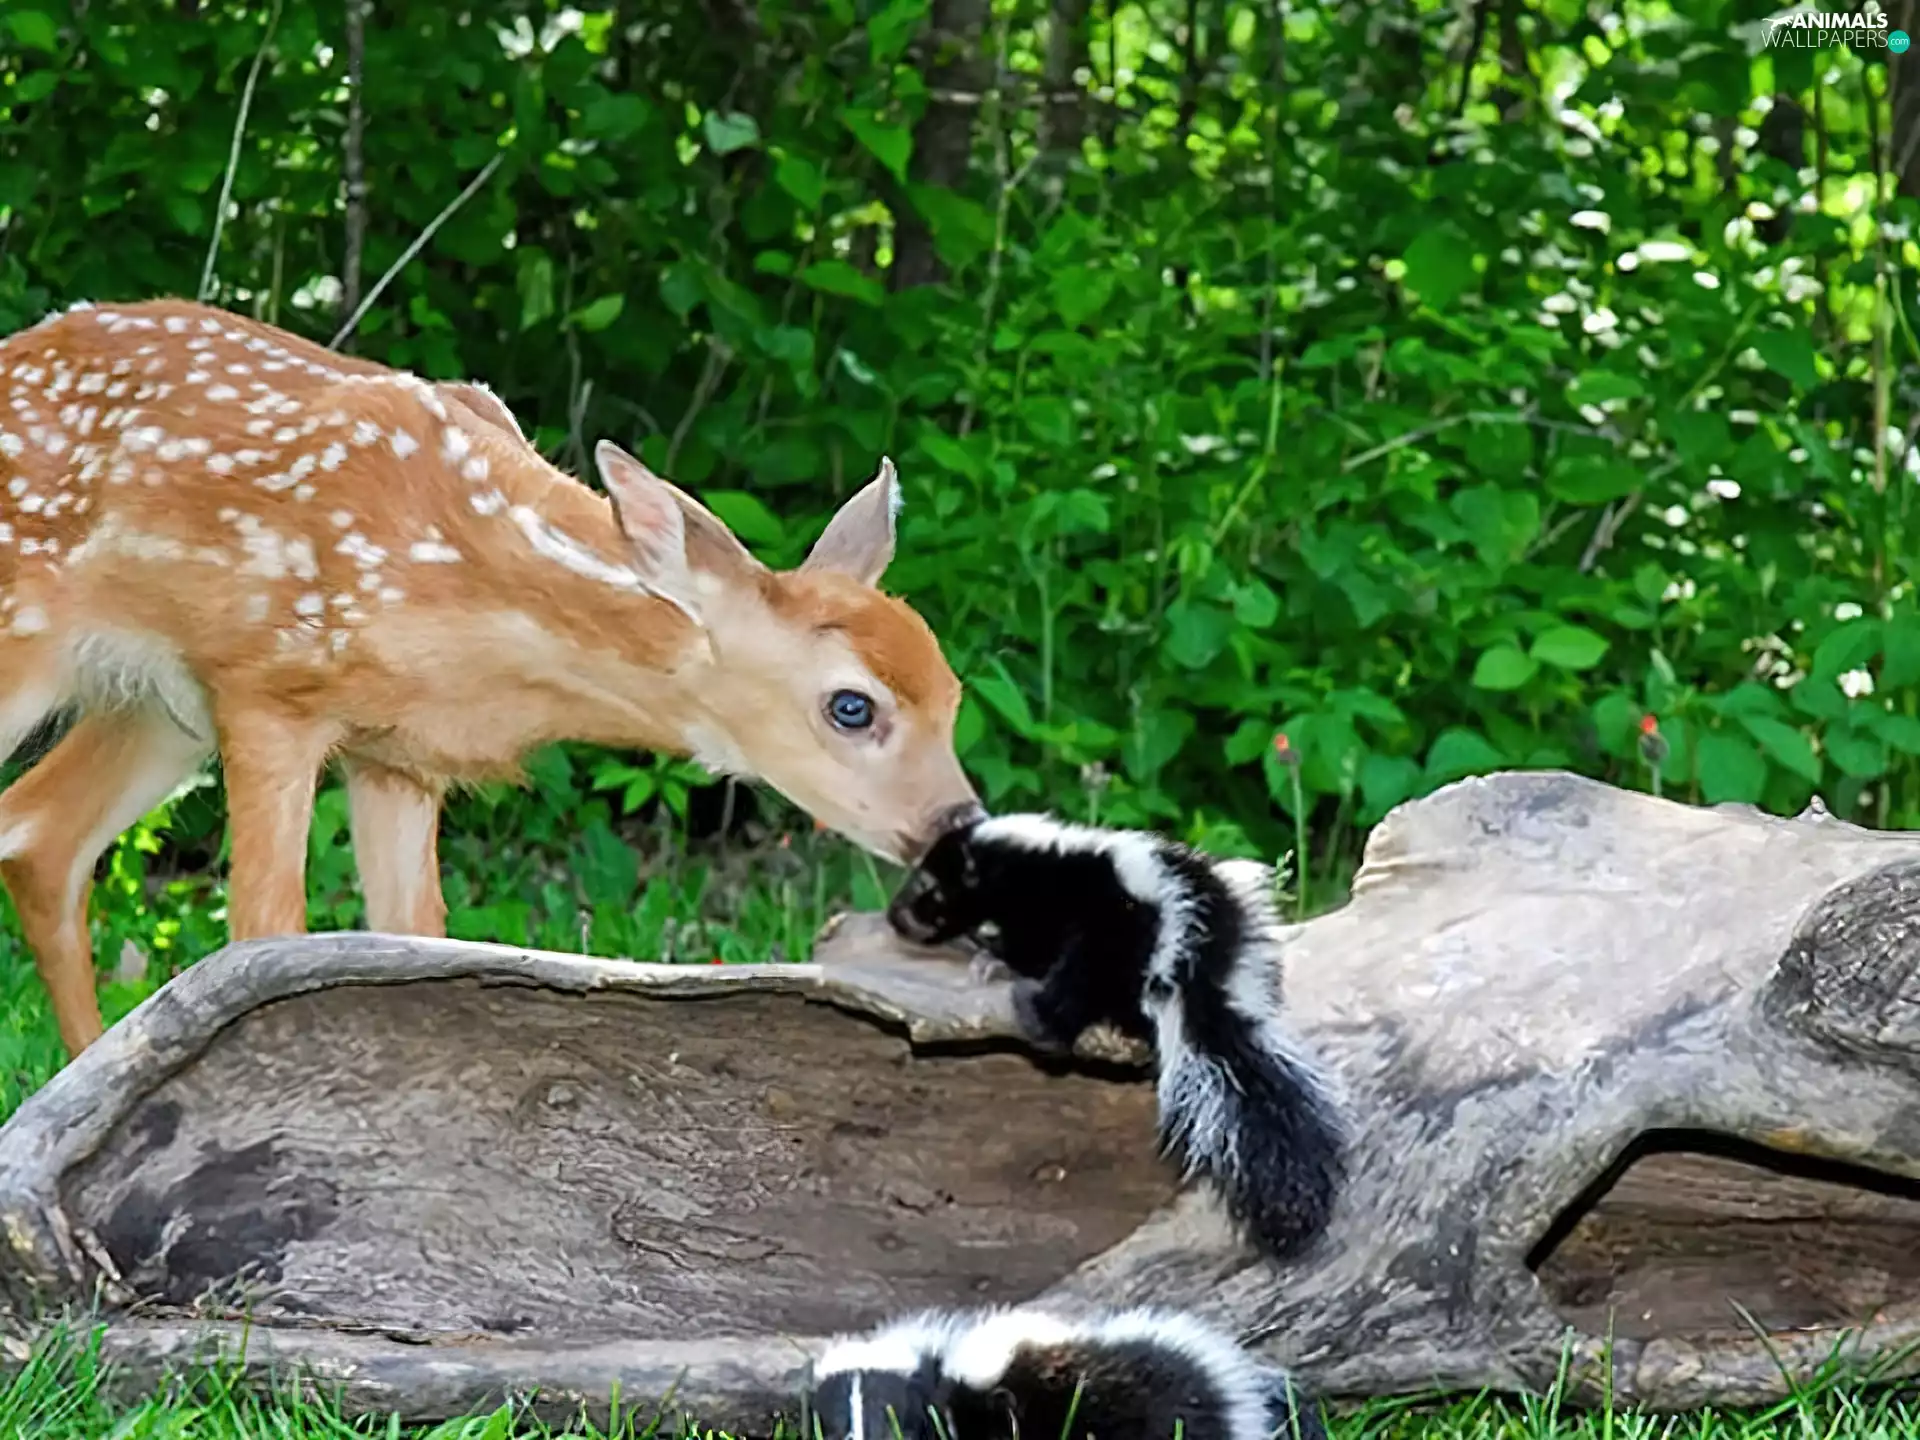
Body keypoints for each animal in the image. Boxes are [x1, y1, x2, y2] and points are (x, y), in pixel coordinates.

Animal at [0, 298, 984, 1059]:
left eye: (954, 696)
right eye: (852, 706)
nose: (957, 822)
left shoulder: (399, 755)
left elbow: (409, 942)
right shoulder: (269, 690)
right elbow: (264, 935)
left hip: (159, 707)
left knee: (41, 835)